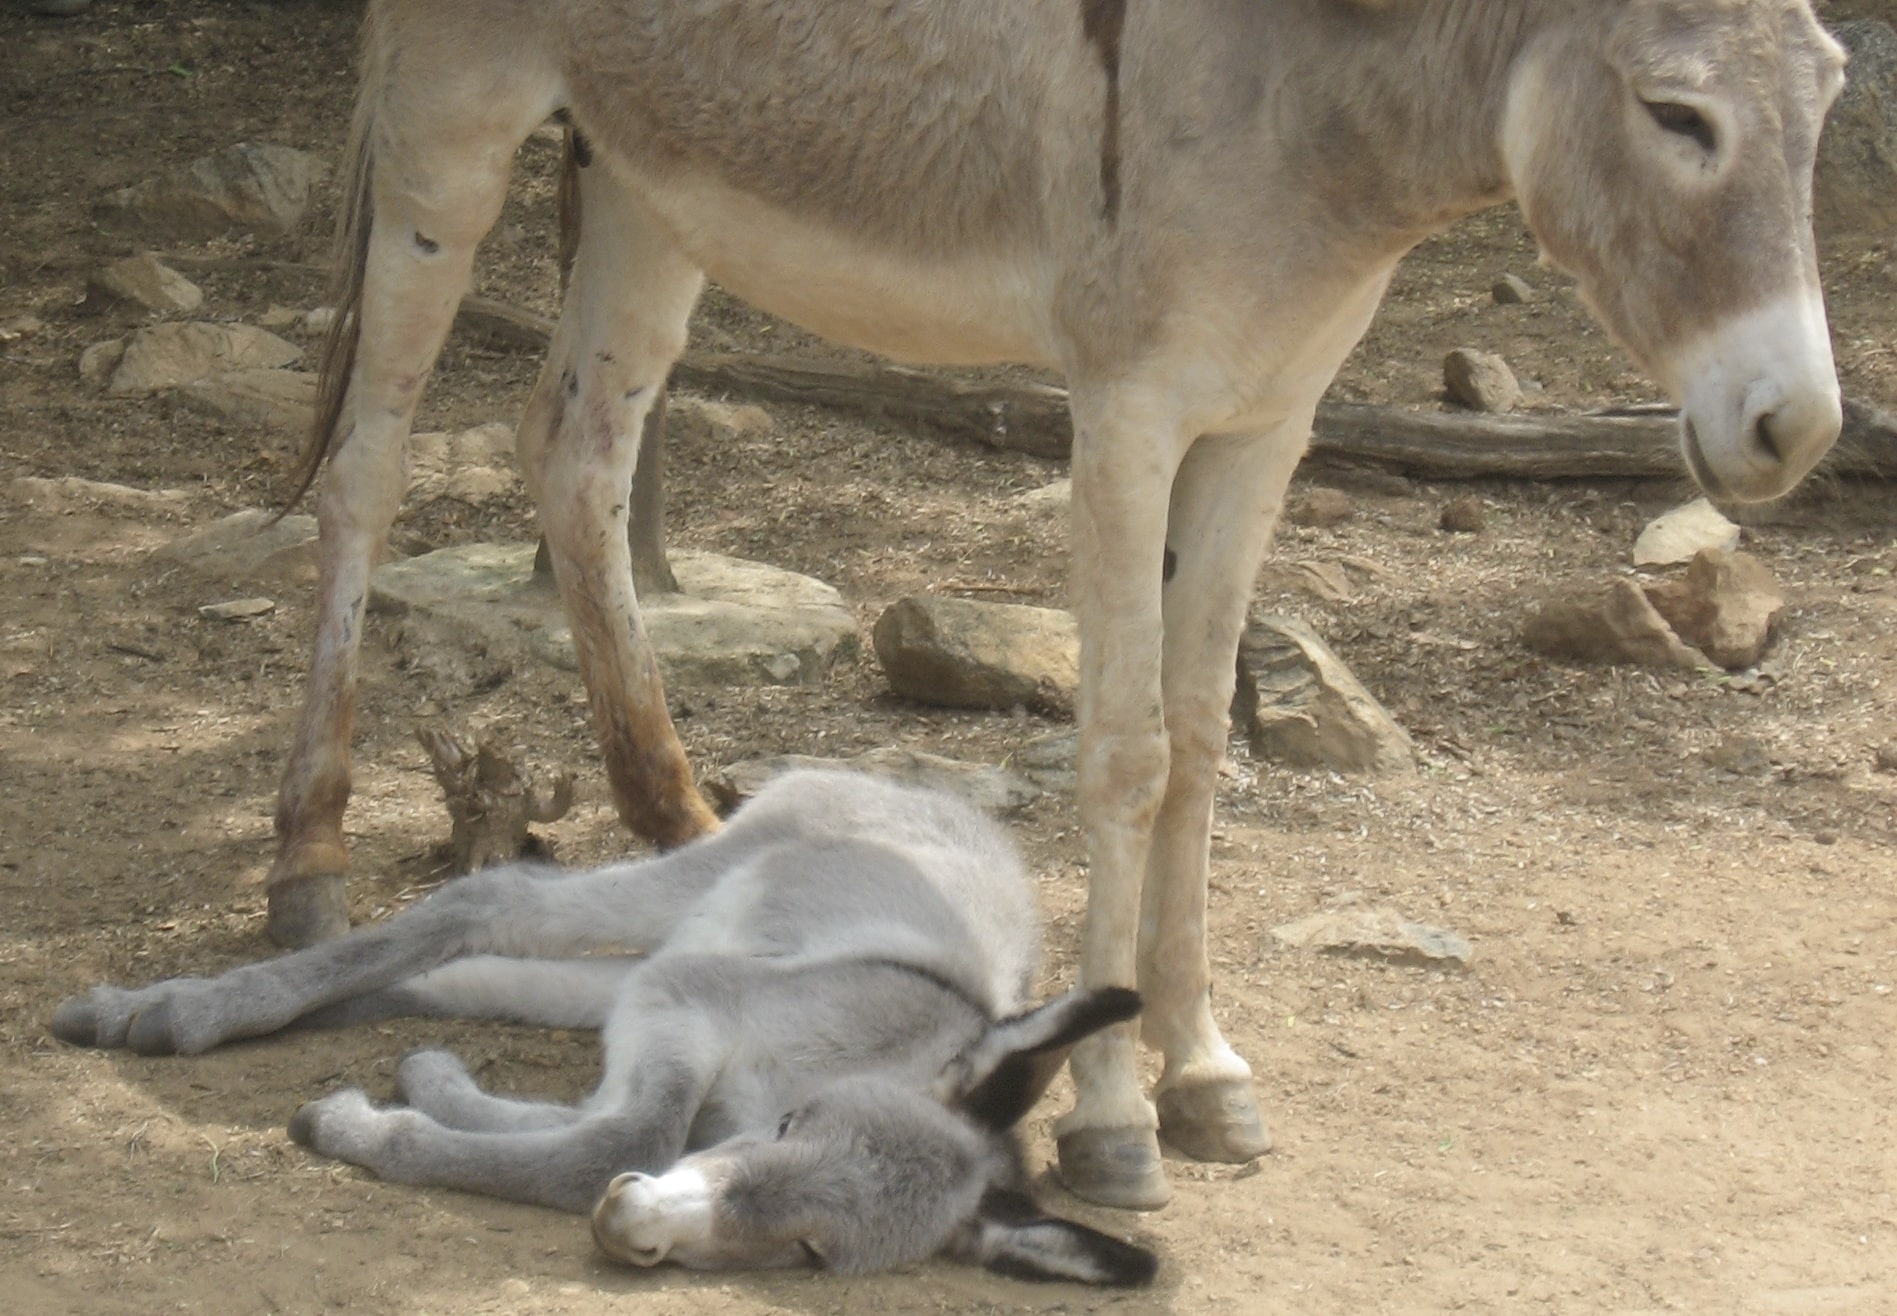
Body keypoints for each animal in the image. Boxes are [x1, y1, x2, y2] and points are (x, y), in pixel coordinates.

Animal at [55, 773, 1153, 1289]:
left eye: (809, 1252)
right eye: (795, 1125)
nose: (635, 1226)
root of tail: (924, 792)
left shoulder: (664, 1019)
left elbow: (579, 1132)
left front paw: (412, 1098)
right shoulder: (692, 1003)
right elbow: (622, 1136)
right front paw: (364, 1125)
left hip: (632, 964)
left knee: (464, 972)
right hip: (687, 898)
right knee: (494, 901)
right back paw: (172, 1011)